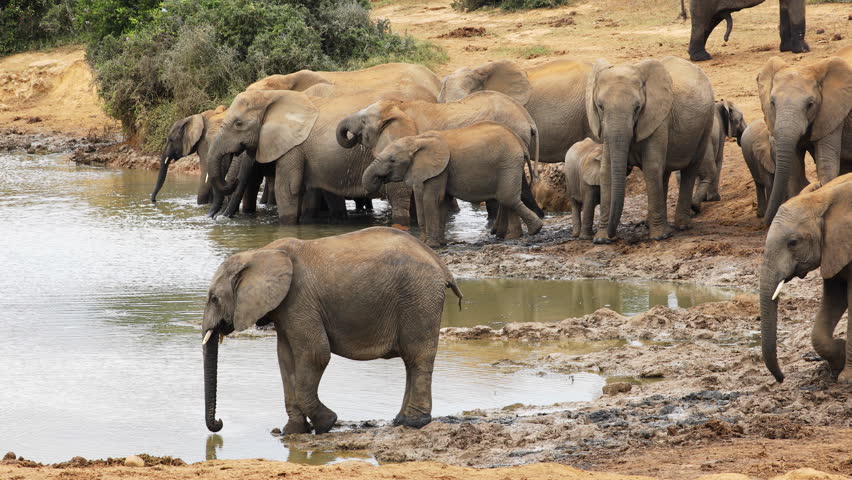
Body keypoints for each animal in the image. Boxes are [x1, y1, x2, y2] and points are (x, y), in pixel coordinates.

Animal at [201, 227, 463, 434]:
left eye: (214, 299)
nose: (220, 422)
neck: (259, 253)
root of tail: (440, 263)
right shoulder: (285, 309)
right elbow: (285, 359)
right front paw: (292, 432)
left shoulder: (298, 299)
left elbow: (314, 354)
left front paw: (327, 423)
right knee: (411, 360)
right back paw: (400, 421)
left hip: (418, 295)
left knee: (416, 356)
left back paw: (412, 423)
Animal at [363, 122, 544, 248]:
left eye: (392, 160)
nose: (377, 182)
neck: (417, 140)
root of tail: (520, 143)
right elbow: (442, 200)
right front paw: (438, 243)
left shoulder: (440, 168)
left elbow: (432, 199)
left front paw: (431, 245)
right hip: (507, 164)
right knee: (506, 199)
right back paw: (510, 236)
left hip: (508, 163)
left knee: (508, 198)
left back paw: (533, 230)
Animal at [586, 57, 715, 243]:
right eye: (600, 106)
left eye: (637, 108)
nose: (613, 235)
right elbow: (606, 171)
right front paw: (602, 240)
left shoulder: (659, 118)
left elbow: (651, 167)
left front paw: (660, 237)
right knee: (664, 173)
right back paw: (652, 224)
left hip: (707, 122)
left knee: (690, 169)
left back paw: (681, 226)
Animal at [757, 46, 852, 224]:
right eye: (772, 103)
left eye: (810, 104)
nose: (765, 221)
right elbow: (793, 170)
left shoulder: (832, 112)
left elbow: (826, 165)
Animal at [759, 173, 852, 384]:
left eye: (793, 243)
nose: (781, 379)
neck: (821, 198)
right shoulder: (833, 249)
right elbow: (834, 296)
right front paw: (839, 356)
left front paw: (846, 379)